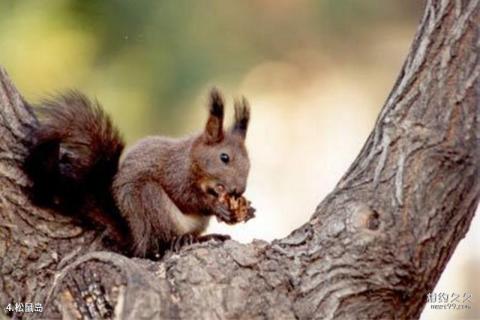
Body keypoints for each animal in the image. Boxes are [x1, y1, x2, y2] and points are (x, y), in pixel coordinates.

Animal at [23, 87, 251, 258]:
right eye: (224, 158)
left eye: (249, 163)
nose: (238, 190)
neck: (191, 160)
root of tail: (137, 238)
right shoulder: (175, 174)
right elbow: (186, 198)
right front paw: (216, 206)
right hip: (150, 200)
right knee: (161, 244)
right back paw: (185, 239)